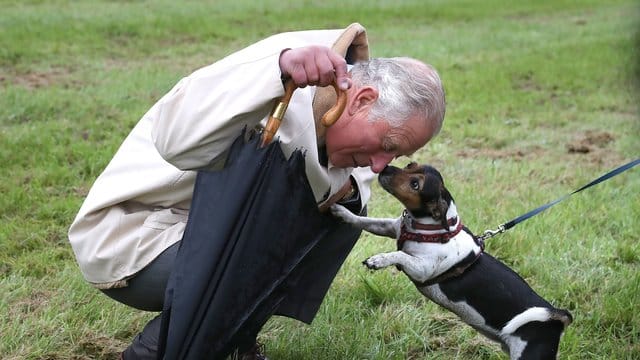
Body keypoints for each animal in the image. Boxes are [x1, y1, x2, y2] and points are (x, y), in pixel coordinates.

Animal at [332, 163, 572, 360]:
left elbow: (399, 255)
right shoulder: (390, 228)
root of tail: (558, 316)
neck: (429, 228)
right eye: (410, 165)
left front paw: (379, 260)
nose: (384, 168)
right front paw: (342, 211)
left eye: (415, 184)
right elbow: (365, 221)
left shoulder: (422, 269)